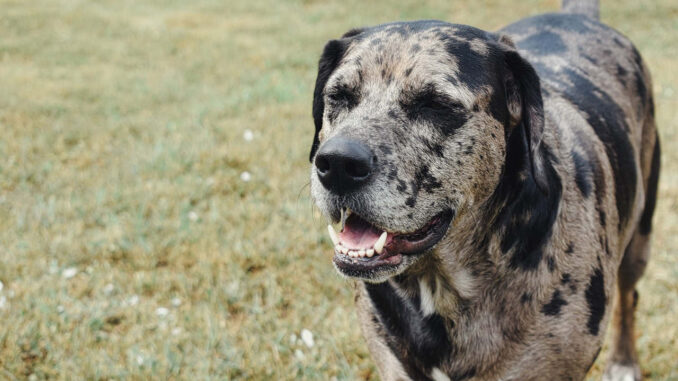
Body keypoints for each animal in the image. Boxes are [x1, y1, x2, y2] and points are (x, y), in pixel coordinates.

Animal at [310, 0, 660, 380]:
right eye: (339, 96)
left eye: (435, 103)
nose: (338, 164)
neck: (444, 286)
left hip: (639, 239)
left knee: (630, 294)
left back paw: (623, 361)